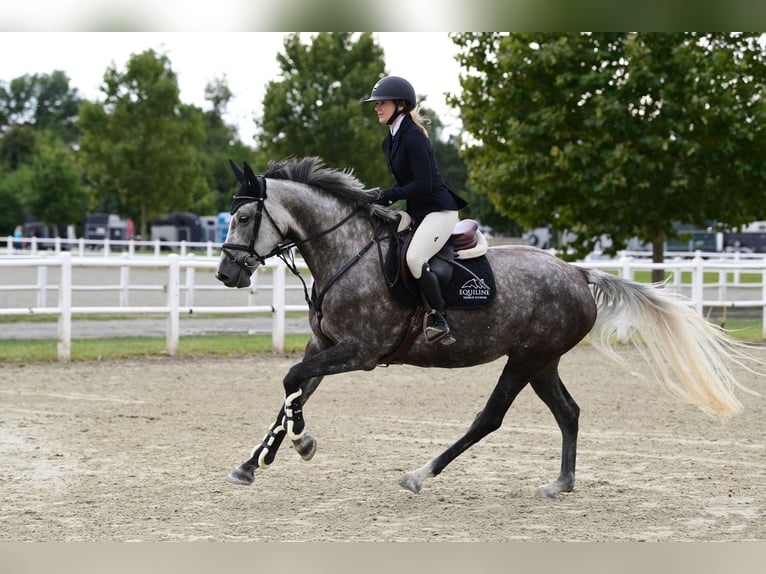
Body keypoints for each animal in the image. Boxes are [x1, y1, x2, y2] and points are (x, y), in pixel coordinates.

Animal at [216, 156, 758, 498]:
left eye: (243, 217)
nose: (226, 274)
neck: (346, 251)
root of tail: (577, 272)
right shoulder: (324, 344)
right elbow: (295, 390)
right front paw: (252, 464)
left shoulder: (360, 352)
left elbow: (291, 383)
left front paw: (302, 444)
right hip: (541, 362)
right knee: (568, 412)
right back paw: (561, 484)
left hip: (526, 358)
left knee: (491, 417)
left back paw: (419, 475)